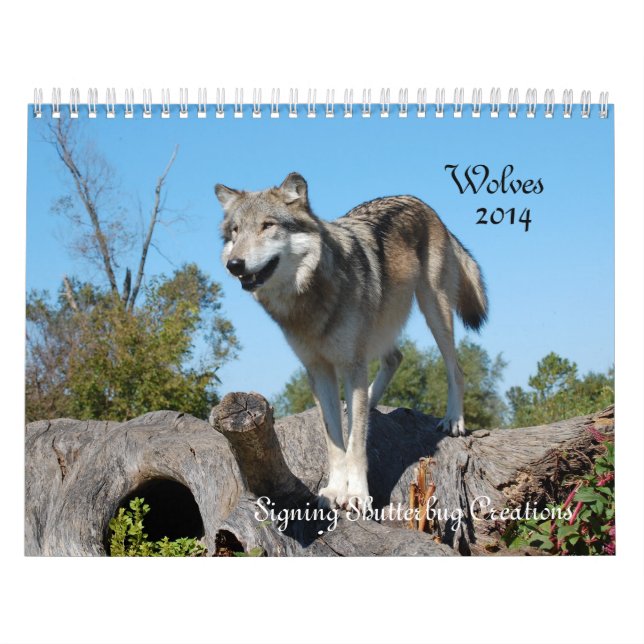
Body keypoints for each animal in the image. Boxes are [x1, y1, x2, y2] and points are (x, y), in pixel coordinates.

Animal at [215, 173, 488, 511]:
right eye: (236, 231)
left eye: (267, 225)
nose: (234, 264)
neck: (308, 300)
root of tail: (421, 202)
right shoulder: (318, 370)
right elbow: (335, 441)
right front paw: (334, 491)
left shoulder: (351, 363)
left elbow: (356, 443)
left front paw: (356, 493)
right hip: (381, 326)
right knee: (395, 359)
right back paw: (367, 403)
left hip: (433, 309)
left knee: (456, 369)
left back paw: (453, 419)